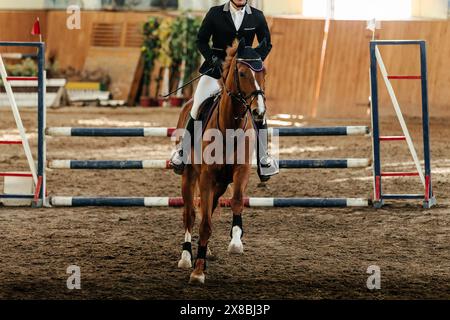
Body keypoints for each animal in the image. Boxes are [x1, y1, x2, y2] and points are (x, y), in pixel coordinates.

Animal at [175, 38, 268, 284]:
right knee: (190, 214)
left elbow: (236, 202)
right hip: (190, 177)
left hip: (220, 183)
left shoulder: (240, 171)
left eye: (264, 72)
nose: (259, 112)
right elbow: (204, 223)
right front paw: (197, 271)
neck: (230, 126)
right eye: (242, 73)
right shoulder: (206, 176)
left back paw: (205, 250)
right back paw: (186, 256)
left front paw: (236, 242)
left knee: (207, 208)